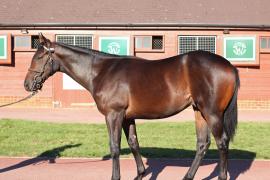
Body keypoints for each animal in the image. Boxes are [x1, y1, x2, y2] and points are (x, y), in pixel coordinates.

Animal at [23, 33, 239, 179]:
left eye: (39, 57)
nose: (27, 84)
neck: (102, 71)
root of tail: (229, 66)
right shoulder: (127, 117)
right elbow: (134, 143)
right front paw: (141, 173)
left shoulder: (114, 115)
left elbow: (115, 147)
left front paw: (115, 176)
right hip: (198, 111)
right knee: (203, 144)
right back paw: (188, 176)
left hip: (212, 113)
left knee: (222, 142)